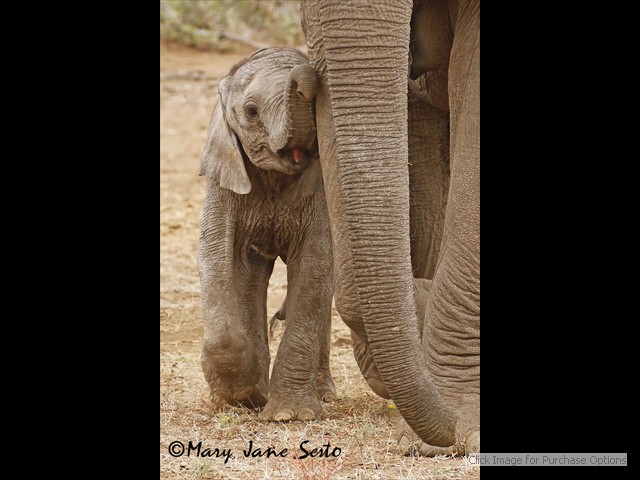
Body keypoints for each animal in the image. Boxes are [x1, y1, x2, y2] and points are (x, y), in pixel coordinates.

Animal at [198, 47, 336, 422]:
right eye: (251, 111)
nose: (304, 70)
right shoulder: (225, 177)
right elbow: (216, 255)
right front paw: (239, 393)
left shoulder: (320, 190)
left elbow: (316, 264)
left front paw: (290, 415)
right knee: (250, 275)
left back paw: (324, 393)